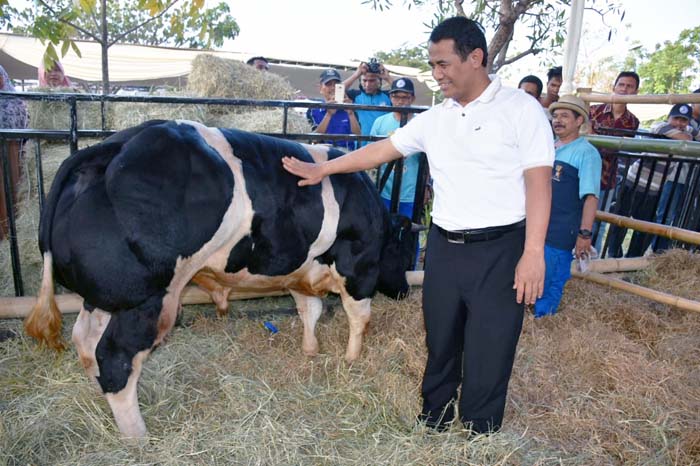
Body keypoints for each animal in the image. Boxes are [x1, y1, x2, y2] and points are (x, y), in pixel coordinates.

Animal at [26, 119, 416, 436]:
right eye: (404, 248)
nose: (405, 291)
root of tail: (115, 144)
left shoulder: (299, 270)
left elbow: (310, 311)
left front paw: (310, 349)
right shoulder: (358, 267)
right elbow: (358, 316)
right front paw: (351, 358)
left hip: (106, 296)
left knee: (85, 341)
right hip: (148, 299)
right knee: (115, 357)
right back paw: (137, 436)